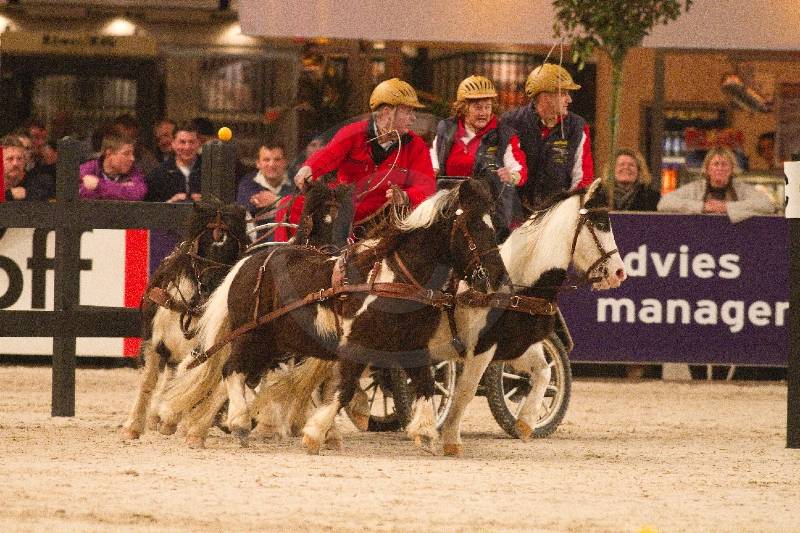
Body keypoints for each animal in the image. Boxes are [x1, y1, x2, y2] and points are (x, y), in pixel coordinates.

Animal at [121, 199, 247, 440]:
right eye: (203, 243)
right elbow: (148, 381)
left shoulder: (206, 347)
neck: (192, 305)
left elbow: (192, 376)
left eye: (230, 248)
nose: (210, 285)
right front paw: (133, 426)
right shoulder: (154, 341)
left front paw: (171, 417)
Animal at [156, 178, 508, 452]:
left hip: (270, 343)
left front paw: (423, 432)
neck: (394, 278)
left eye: (494, 224)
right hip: (250, 335)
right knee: (230, 371)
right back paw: (239, 422)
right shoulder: (356, 344)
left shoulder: (411, 345)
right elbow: (346, 387)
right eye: (474, 225)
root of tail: (247, 263)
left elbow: (424, 384)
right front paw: (315, 433)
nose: (498, 277)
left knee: (233, 373)